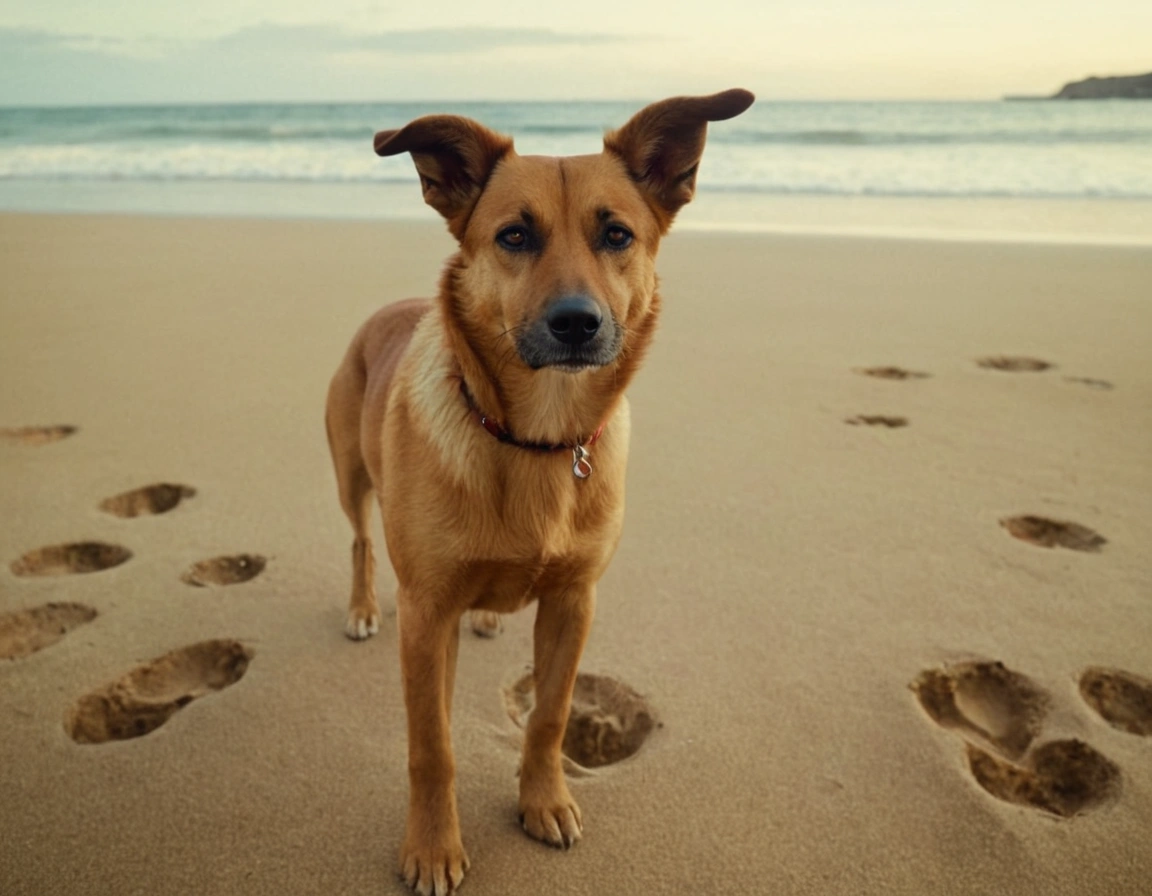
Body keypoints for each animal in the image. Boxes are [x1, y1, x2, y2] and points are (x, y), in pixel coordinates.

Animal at [324, 87, 755, 889]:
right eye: (515, 236)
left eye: (616, 234)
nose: (576, 323)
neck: (535, 440)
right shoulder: (425, 616)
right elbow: (432, 747)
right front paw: (433, 845)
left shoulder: (573, 603)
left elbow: (550, 717)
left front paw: (544, 801)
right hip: (350, 475)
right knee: (362, 540)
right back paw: (364, 606)